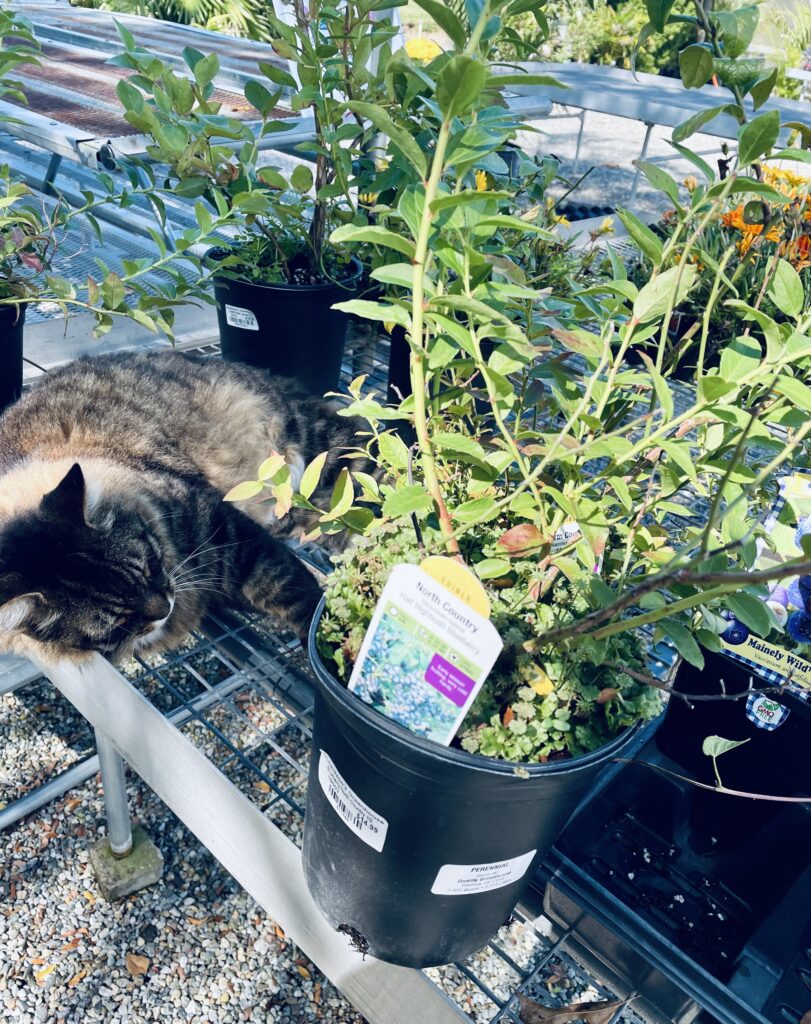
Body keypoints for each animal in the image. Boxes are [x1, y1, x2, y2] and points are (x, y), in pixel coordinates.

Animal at [0, 348, 364, 659]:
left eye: (147, 567)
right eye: (118, 620)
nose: (166, 608)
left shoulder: (227, 529)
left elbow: (293, 591)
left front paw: (329, 640)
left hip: (322, 452)